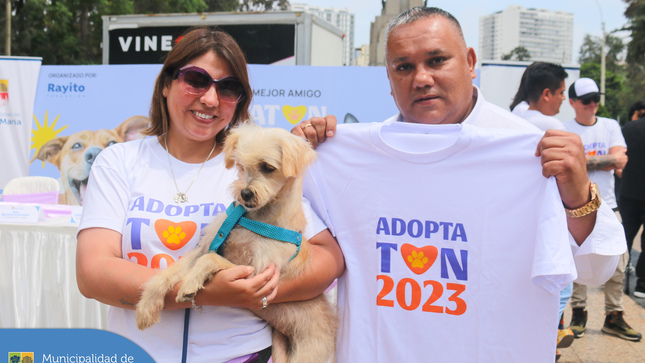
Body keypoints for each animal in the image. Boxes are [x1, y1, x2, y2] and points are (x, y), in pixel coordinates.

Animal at [136, 123, 338, 362]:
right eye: (241, 166)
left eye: (268, 167)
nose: (245, 193)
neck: (255, 220)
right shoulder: (207, 246)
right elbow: (168, 274)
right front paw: (146, 307)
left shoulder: (259, 276)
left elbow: (210, 259)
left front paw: (190, 283)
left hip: (308, 352)